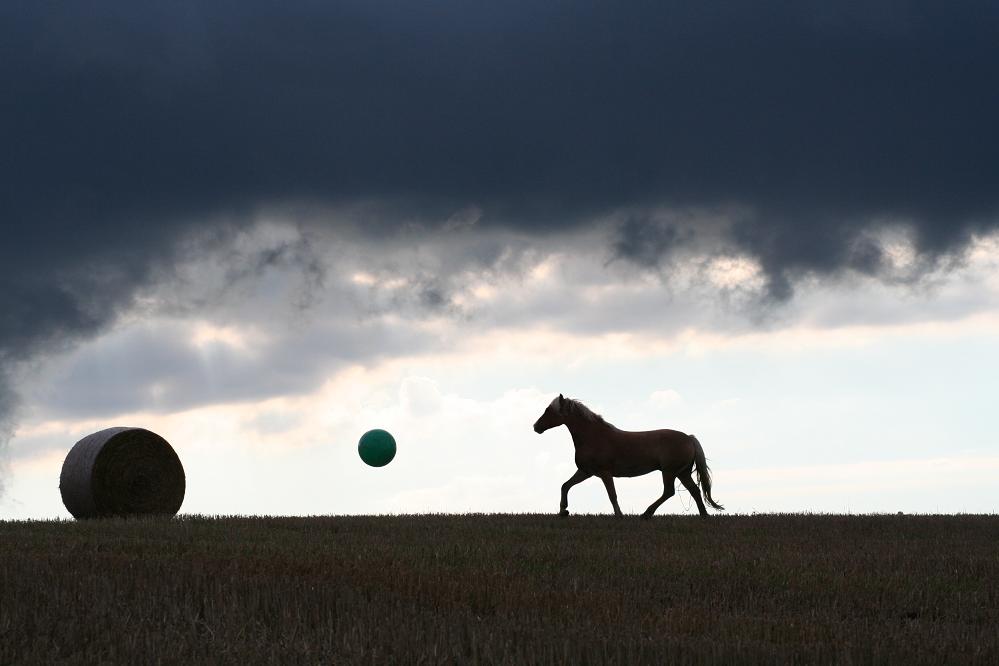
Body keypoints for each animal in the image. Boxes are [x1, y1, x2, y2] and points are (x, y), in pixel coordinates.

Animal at [536, 392, 724, 516]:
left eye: (548, 410)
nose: (536, 427)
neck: (594, 436)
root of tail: (689, 438)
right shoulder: (585, 472)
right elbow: (565, 485)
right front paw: (563, 510)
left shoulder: (605, 473)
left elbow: (612, 495)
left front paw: (619, 515)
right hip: (682, 472)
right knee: (694, 491)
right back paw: (704, 515)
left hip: (670, 472)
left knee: (669, 492)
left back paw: (646, 514)